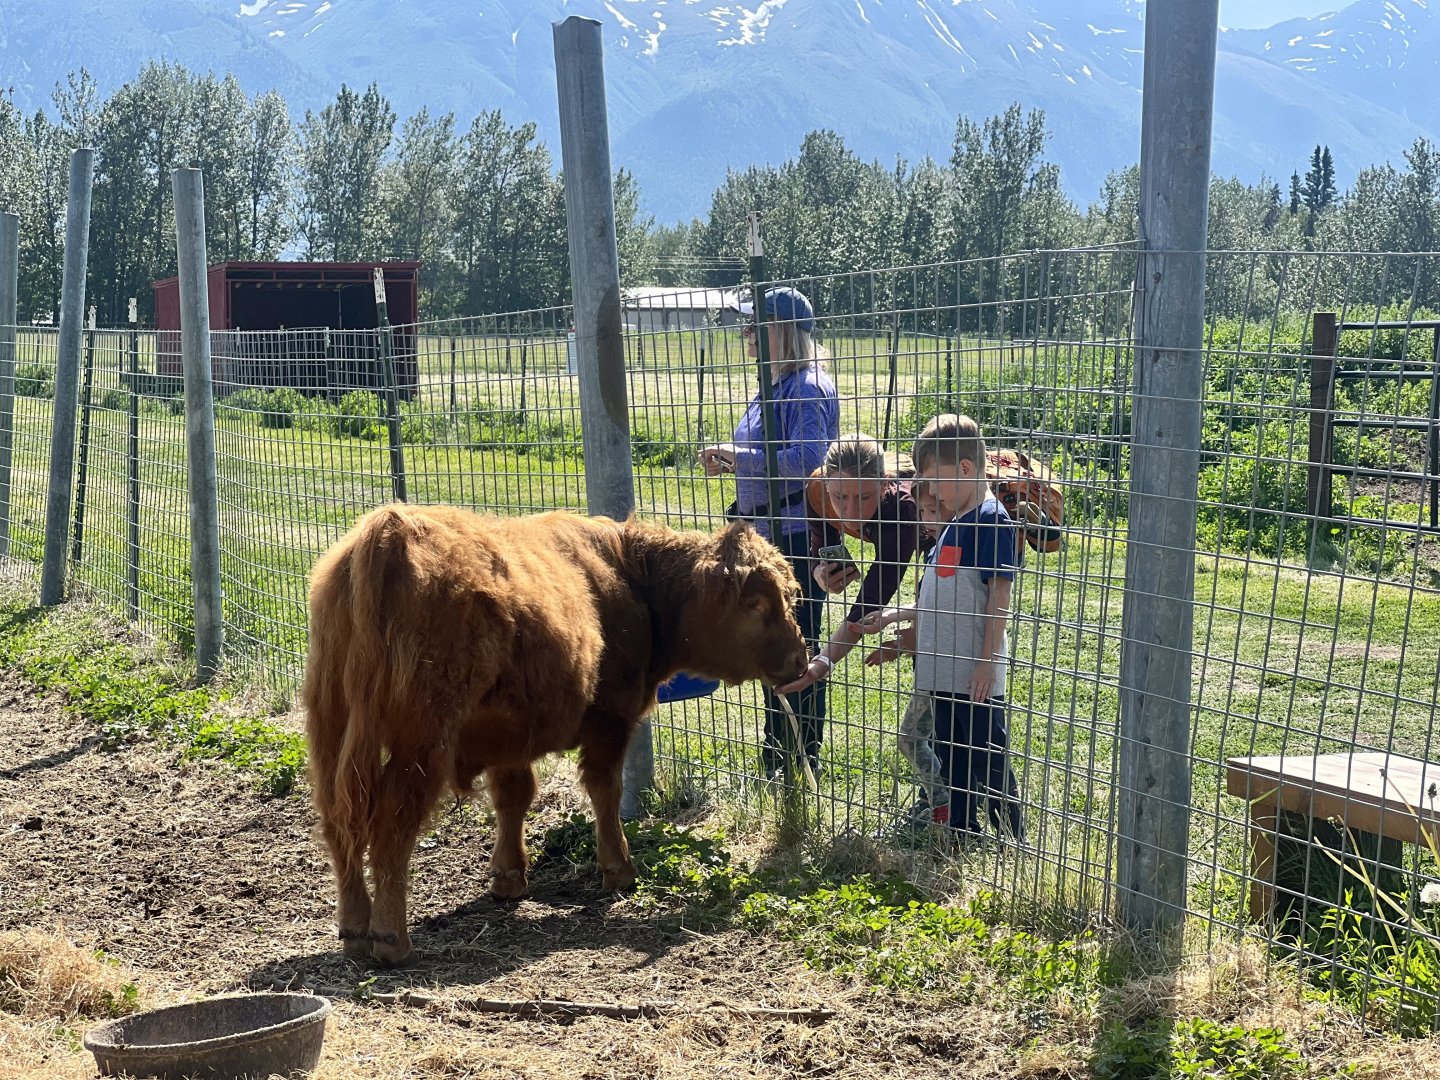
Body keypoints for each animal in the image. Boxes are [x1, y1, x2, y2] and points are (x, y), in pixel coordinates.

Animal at [302, 504, 809, 965]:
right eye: (757, 603)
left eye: (789, 597)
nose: (801, 659)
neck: (633, 579)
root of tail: (391, 529)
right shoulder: (611, 717)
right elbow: (605, 790)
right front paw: (618, 869)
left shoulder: (507, 733)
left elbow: (514, 797)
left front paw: (508, 878)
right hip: (423, 736)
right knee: (392, 820)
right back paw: (391, 939)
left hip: (330, 725)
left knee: (339, 821)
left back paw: (353, 930)